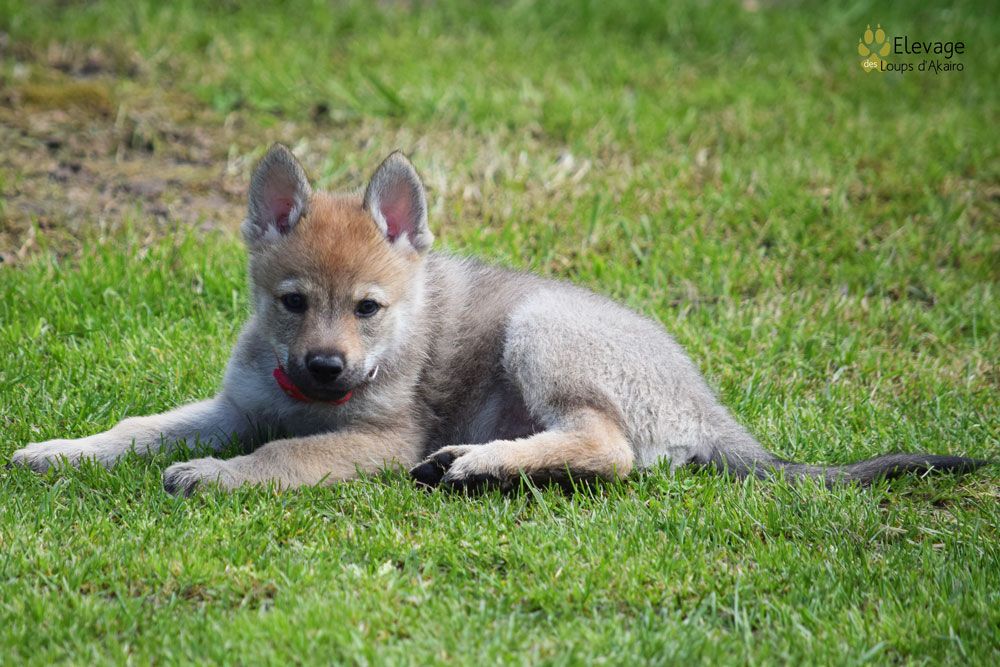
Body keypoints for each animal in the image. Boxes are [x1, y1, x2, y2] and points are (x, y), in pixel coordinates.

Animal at [11, 145, 987, 494]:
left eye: (369, 308)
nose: (325, 367)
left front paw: (217, 475)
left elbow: (285, 454)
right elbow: (141, 425)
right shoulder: (233, 405)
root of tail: (712, 414)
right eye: (293, 303)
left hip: (543, 332)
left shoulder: (377, 439)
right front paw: (59, 450)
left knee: (608, 448)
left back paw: (475, 464)